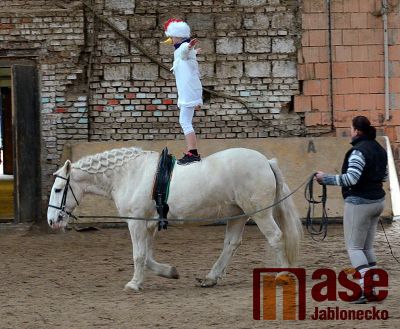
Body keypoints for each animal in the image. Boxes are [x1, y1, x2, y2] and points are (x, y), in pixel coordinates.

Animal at [47, 147, 302, 290]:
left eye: (58, 189)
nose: (52, 221)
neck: (130, 174)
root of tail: (266, 161)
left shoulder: (136, 223)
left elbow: (139, 255)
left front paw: (134, 284)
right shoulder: (148, 225)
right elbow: (148, 257)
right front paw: (170, 272)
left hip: (260, 212)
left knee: (276, 238)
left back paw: (283, 274)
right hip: (237, 213)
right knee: (231, 245)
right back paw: (210, 278)